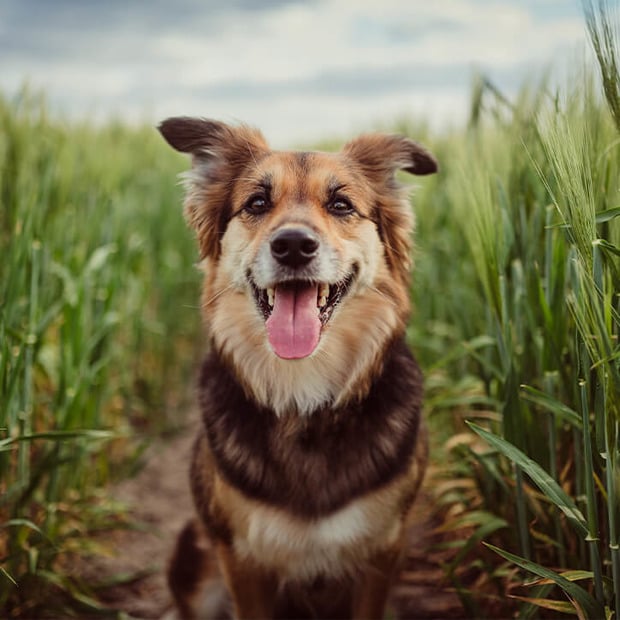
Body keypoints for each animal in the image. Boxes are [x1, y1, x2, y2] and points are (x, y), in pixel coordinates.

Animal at [160, 117, 438, 620]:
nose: (292, 245)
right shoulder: (242, 559)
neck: (302, 395)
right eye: (257, 203)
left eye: (341, 204)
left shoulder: (382, 551)